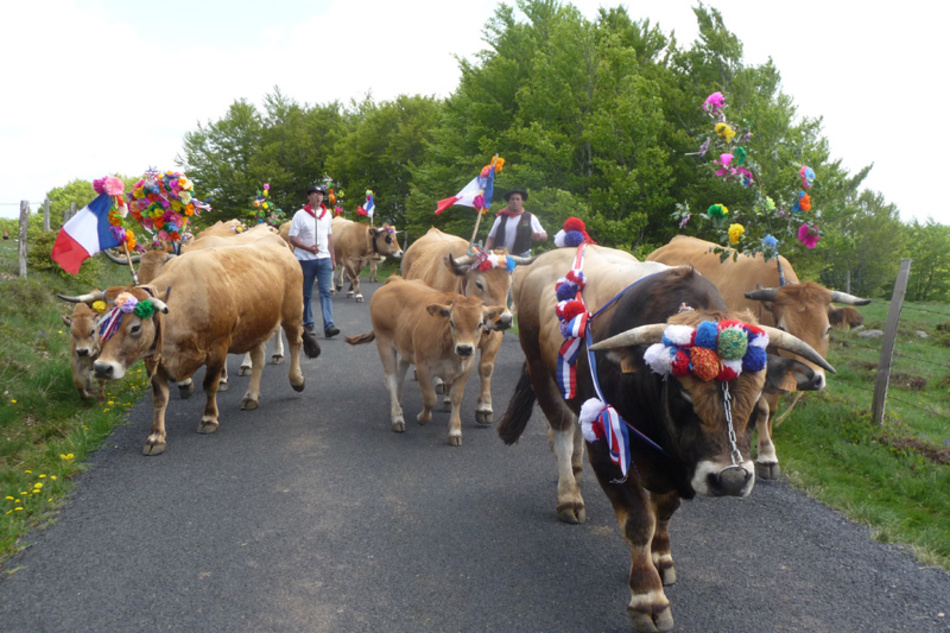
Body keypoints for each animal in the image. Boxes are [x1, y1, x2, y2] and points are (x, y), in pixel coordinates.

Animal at [60, 232, 320, 454]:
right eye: (100, 326)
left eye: (135, 327)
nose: (102, 368)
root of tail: (279, 245)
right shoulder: (153, 358)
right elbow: (159, 397)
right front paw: (155, 437)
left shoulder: (218, 348)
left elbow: (210, 384)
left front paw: (209, 418)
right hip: (256, 324)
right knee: (258, 359)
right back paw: (251, 396)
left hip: (293, 312)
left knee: (295, 342)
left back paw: (296, 379)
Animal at [346, 276, 510, 444]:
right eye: (452, 322)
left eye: (480, 324)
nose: (464, 348)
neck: (449, 348)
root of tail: (395, 280)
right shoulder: (422, 366)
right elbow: (430, 398)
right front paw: (422, 418)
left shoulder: (466, 369)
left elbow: (456, 398)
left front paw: (455, 431)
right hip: (383, 342)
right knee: (391, 377)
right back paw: (397, 417)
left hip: (405, 347)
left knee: (401, 369)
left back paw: (399, 399)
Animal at [402, 227, 536, 424]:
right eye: (479, 284)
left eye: (509, 284)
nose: (504, 319)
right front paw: (448, 398)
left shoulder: (494, 335)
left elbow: (486, 368)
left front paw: (484, 407)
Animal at [498, 242, 832, 628]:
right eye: (682, 391)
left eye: (759, 390)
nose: (732, 479)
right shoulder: (609, 447)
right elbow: (639, 520)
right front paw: (648, 596)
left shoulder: (676, 469)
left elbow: (664, 511)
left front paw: (661, 558)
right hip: (540, 369)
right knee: (563, 433)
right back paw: (569, 496)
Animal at [648, 235, 872, 476]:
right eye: (783, 328)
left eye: (828, 329)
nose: (814, 379)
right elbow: (762, 407)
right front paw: (766, 454)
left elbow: (771, 410)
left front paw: (767, 444)